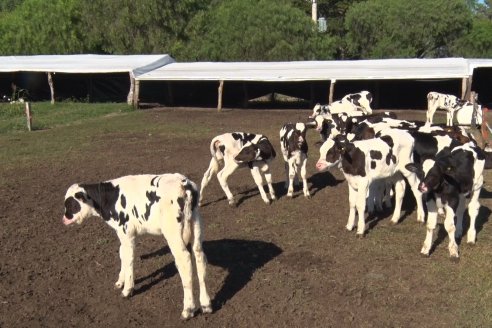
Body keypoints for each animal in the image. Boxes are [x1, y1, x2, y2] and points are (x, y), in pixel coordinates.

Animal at [62, 173, 212, 320]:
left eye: (70, 203)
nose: (64, 219)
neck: (110, 197)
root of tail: (184, 183)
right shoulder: (122, 234)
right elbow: (122, 255)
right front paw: (120, 282)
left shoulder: (126, 232)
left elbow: (128, 259)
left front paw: (127, 290)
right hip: (196, 227)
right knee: (200, 259)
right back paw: (206, 305)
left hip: (174, 234)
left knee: (185, 263)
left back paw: (188, 310)